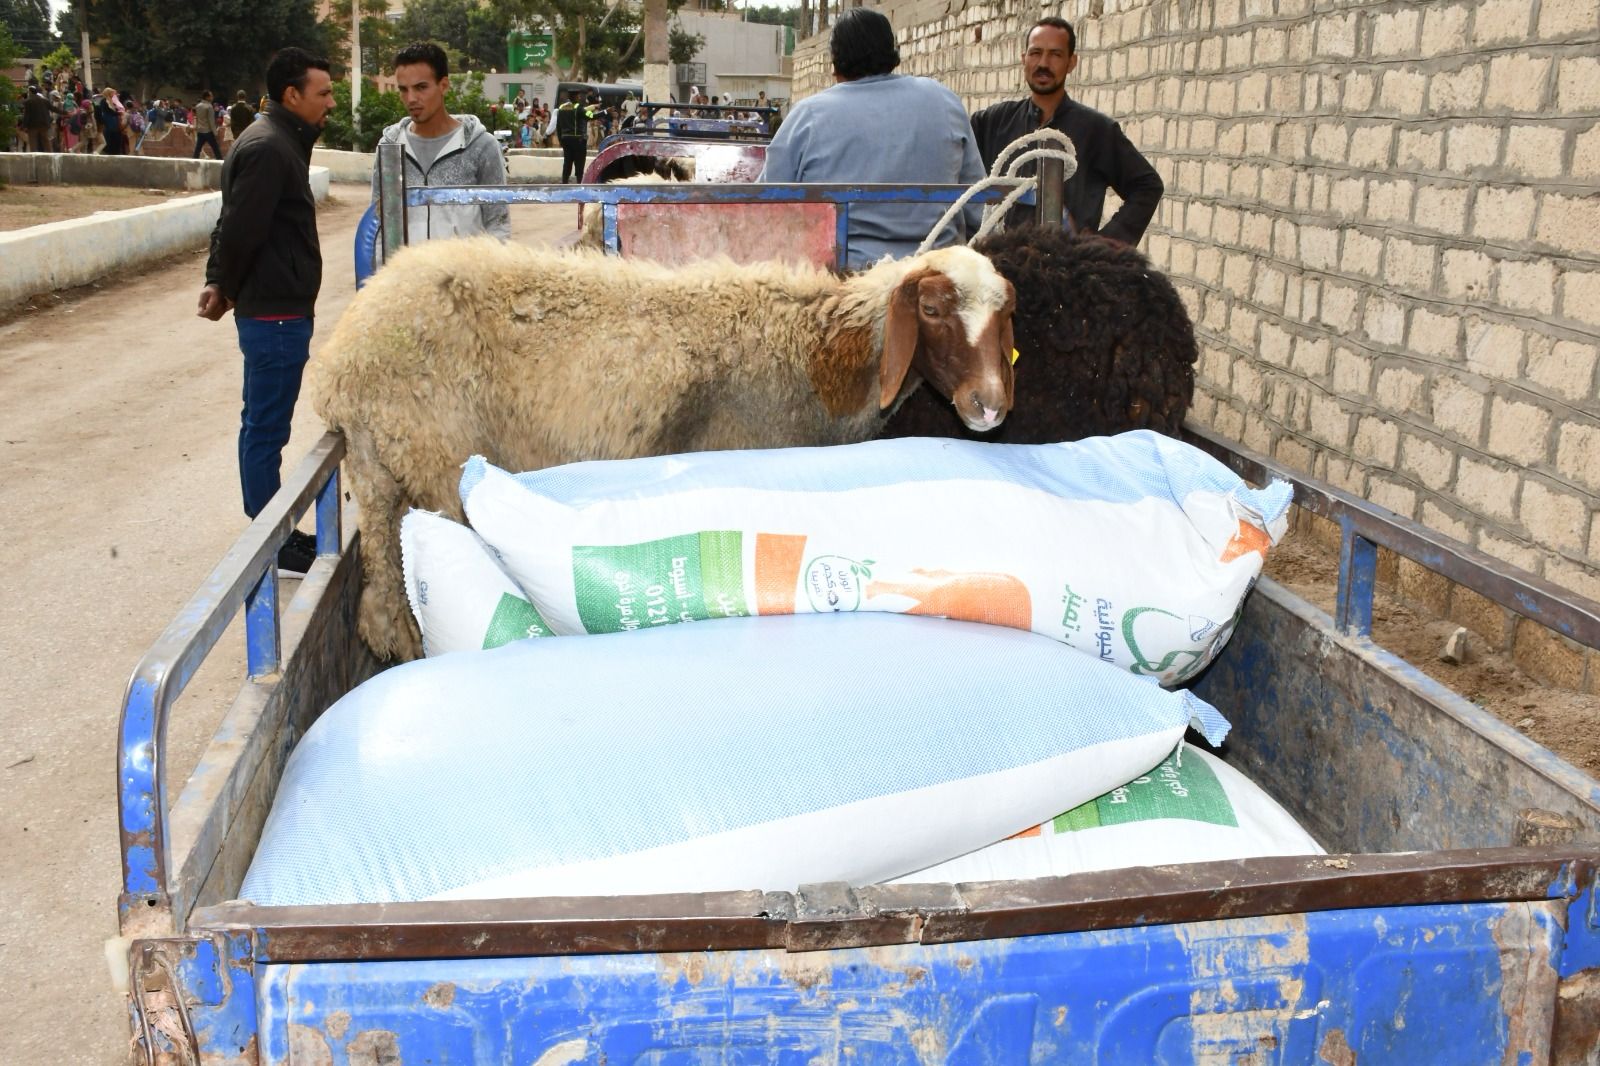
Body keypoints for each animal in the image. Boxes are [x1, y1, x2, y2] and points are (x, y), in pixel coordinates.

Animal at [311, 238, 1016, 661]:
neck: (820, 356)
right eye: (931, 309)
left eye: (1005, 315)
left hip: (381, 471)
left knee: (382, 599)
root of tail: (341, 359)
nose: (989, 405)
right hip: (433, 454)